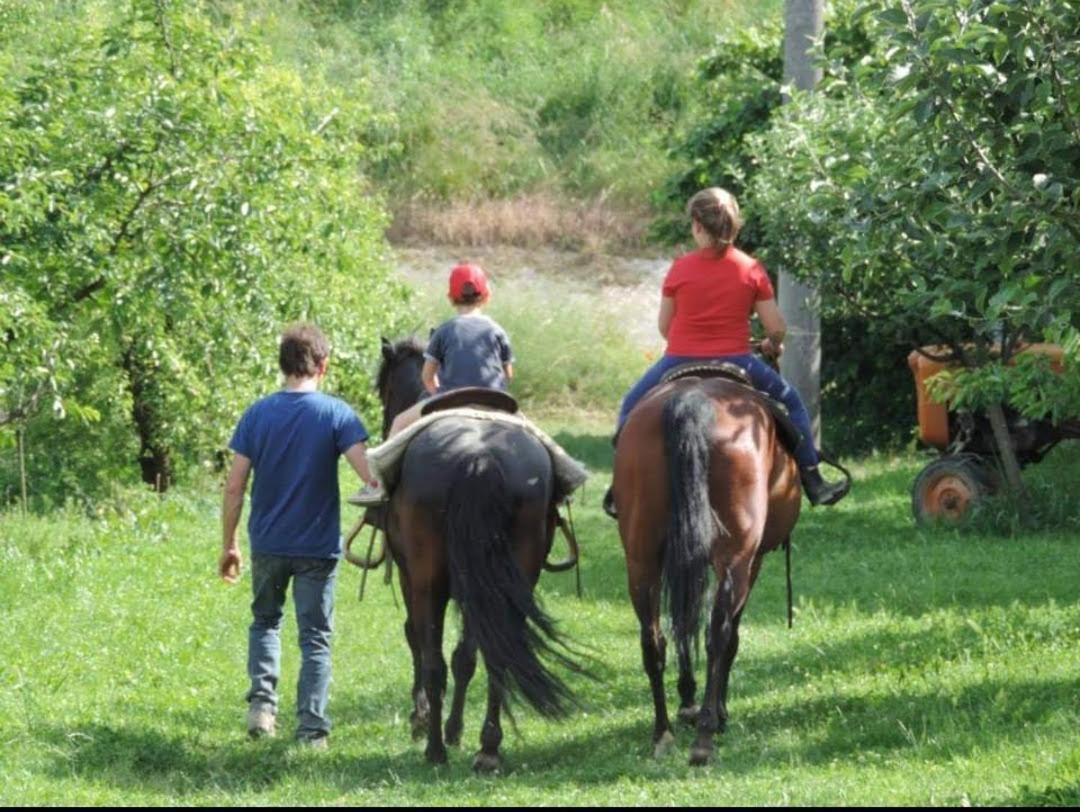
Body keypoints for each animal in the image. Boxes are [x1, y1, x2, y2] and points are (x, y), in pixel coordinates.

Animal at [613, 373, 799, 768]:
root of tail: (692, 402)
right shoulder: (753, 560)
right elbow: (728, 634)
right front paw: (715, 711)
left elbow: (684, 621)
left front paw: (687, 701)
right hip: (736, 559)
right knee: (719, 634)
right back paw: (705, 735)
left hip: (641, 560)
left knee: (655, 638)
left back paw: (663, 733)